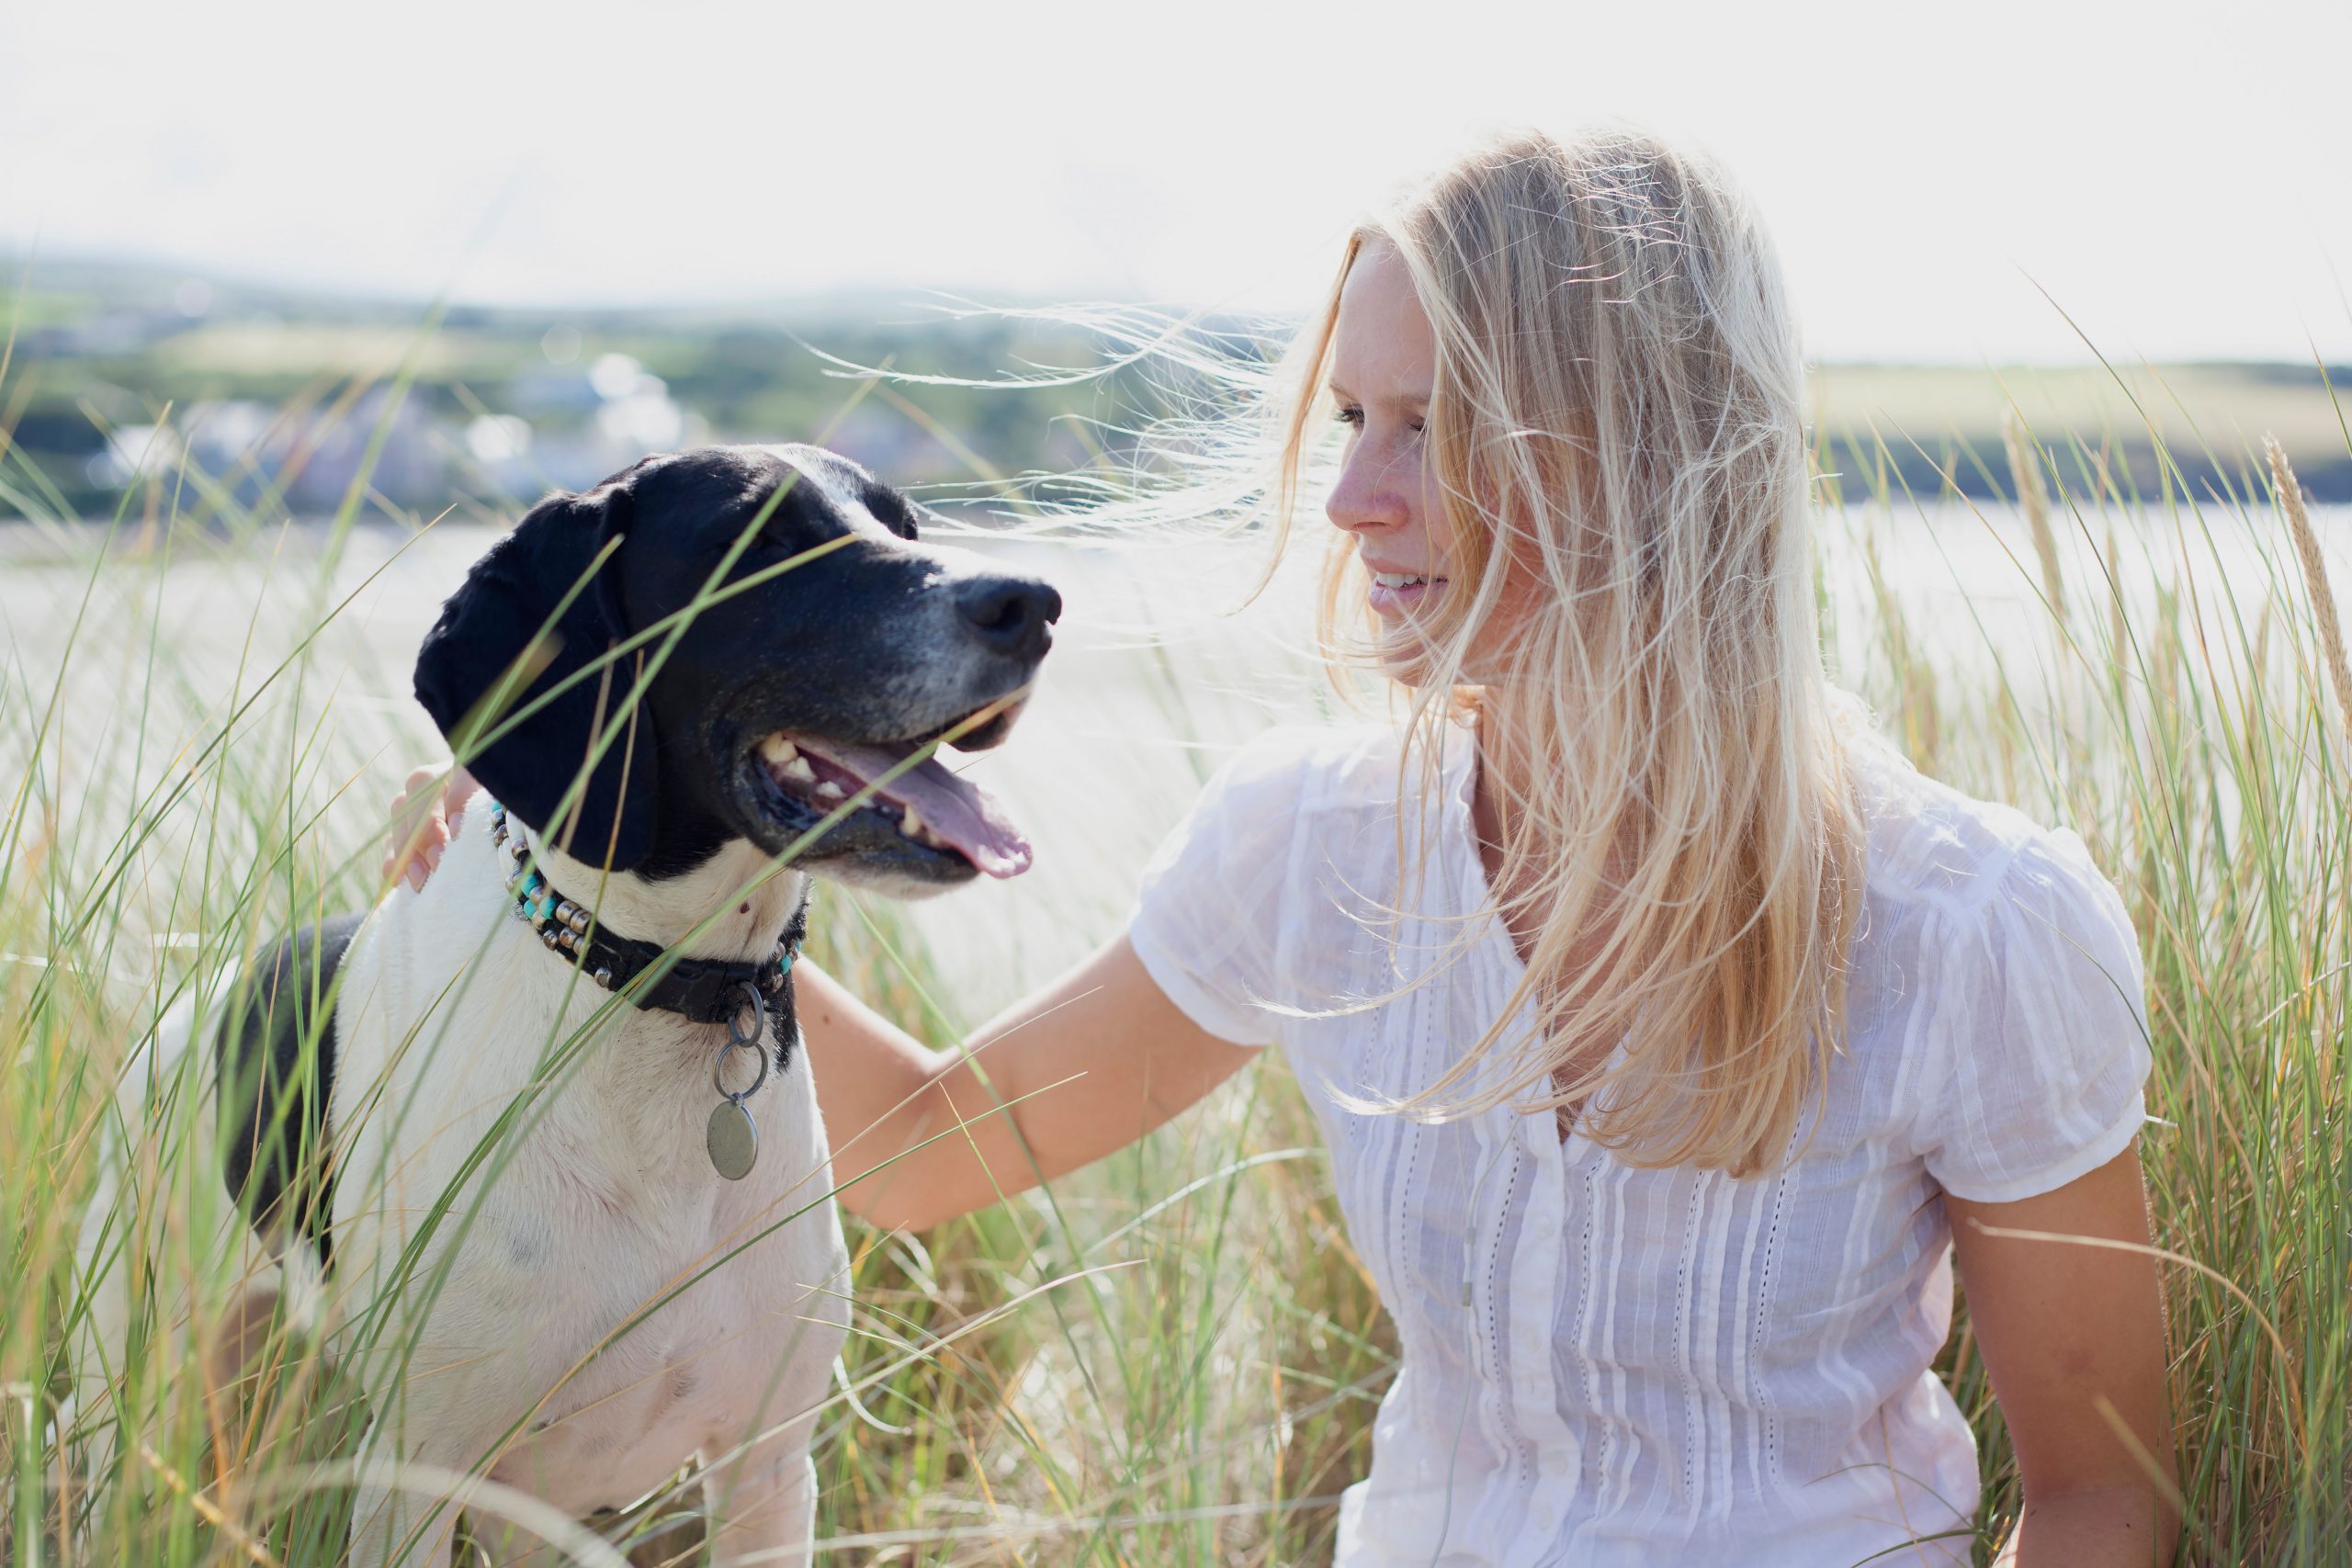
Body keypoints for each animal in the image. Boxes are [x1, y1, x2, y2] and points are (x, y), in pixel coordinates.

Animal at [75, 446, 1058, 1561]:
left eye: (906, 524)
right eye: (758, 538)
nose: (1033, 604)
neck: (648, 989)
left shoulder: (766, 1467)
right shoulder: (416, 1478)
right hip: (138, 1369)